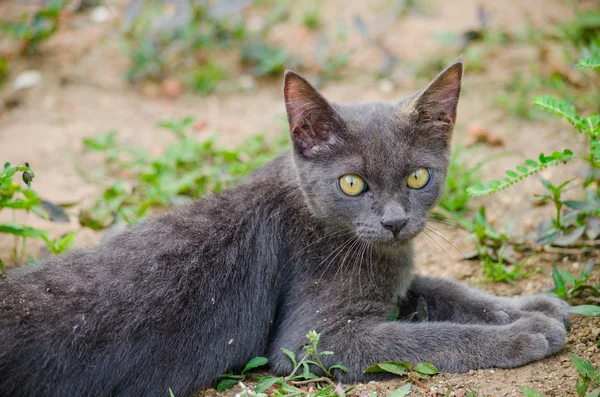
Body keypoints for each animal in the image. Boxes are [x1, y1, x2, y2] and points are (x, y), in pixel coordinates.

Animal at [0, 62, 568, 396]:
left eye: (418, 176)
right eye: (352, 184)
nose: (394, 221)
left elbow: (445, 290)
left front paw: (533, 306)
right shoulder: (318, 338)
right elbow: (429, 338)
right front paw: (525, 332)